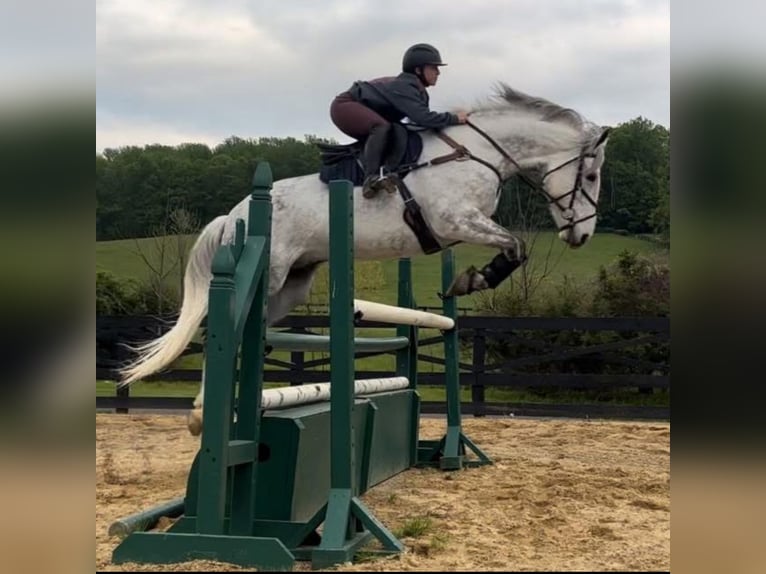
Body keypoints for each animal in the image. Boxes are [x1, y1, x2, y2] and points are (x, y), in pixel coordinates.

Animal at [118, 83, 611, 435]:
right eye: (589, 175)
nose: (584, 234)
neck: (479, 153)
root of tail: (235, 214)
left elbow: (512, 248)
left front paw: (466, 280)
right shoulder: (457, 221)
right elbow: (515, 247)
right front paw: (473, 280)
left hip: (293, 284)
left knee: (246, 334)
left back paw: (217, 411)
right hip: (268, 275)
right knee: (224, 330)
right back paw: (206, 415)